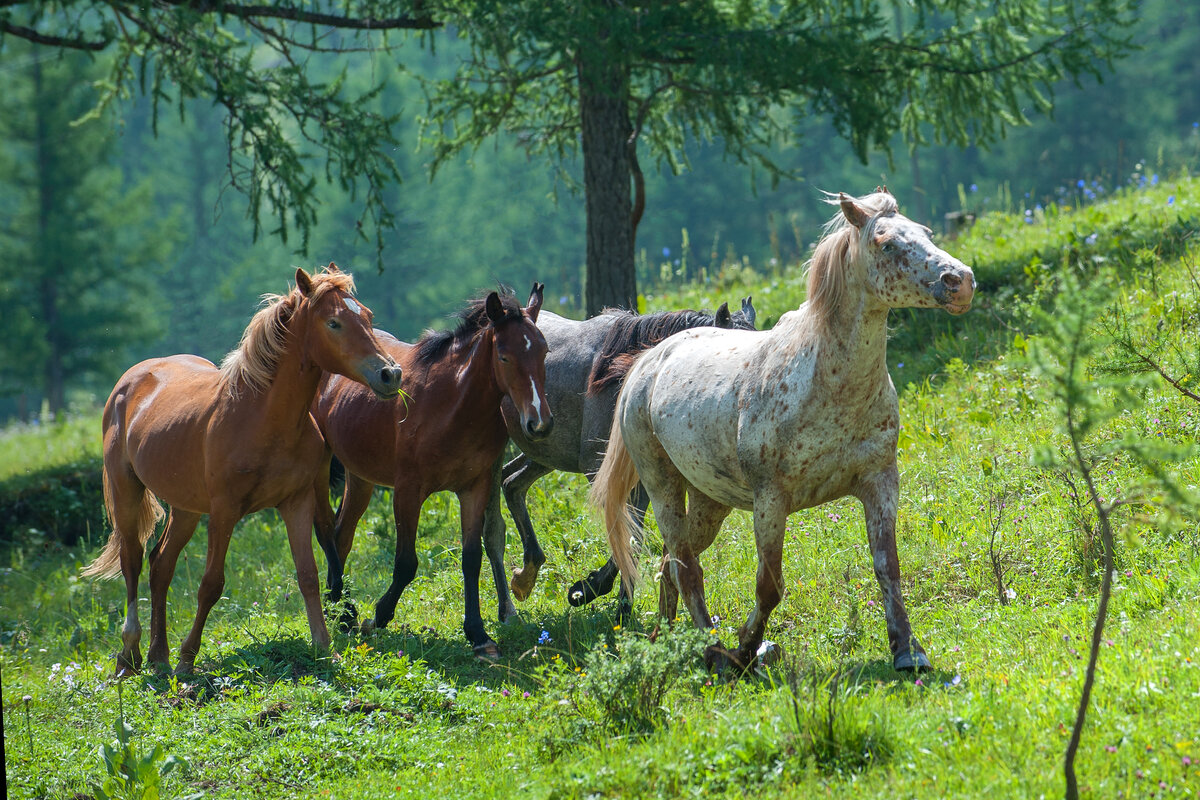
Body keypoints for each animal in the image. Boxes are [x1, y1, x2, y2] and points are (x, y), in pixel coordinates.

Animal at [84, 263, 405, 676]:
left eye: (366, 316)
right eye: (334, 322)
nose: (390, 374)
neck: (261, 417)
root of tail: (132, 379)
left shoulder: (297, 503)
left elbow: (308, 574)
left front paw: (323, 646)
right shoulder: (225, 511)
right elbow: (211, 584)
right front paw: (188, 659)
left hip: (186, 508)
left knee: (160, 566)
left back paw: (159, 655)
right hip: (127, 492)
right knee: (133, 562)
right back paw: (131, 654)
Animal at [312, 284, 549, 662]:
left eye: (544, 350)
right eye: (504, 357)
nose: (539, 423)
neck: (451, 404)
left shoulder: (475, 488)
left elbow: (471, 558)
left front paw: (478, 635)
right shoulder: (408, 491)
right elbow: (406, 563)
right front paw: (378, 617)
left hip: (360, 477)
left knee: (341, 534)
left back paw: (340, 609)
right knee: (326, 533)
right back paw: (343, 608)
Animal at [482, 297, 753, 623]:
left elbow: (634, 537)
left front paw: (617, 602)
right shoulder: (603, 473)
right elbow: (625, 533)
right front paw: (590, 590)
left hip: (544, 455)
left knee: (512, 483)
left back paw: (526, 577)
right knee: (493, 527)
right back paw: (507, 609)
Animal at [590, 191, 974, 676]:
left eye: (926, 232)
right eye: (886, 243)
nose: (961, 282)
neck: (830, 384)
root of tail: (648, 361)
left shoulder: (880, 481)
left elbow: (888, 566)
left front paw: (908, 651)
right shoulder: (771, 500)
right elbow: (769, 586)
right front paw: (743, 651)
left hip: (710, 501)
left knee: (671, 560)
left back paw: (669, 642)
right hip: (662, 487)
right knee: (686, 566)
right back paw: (712, 651)